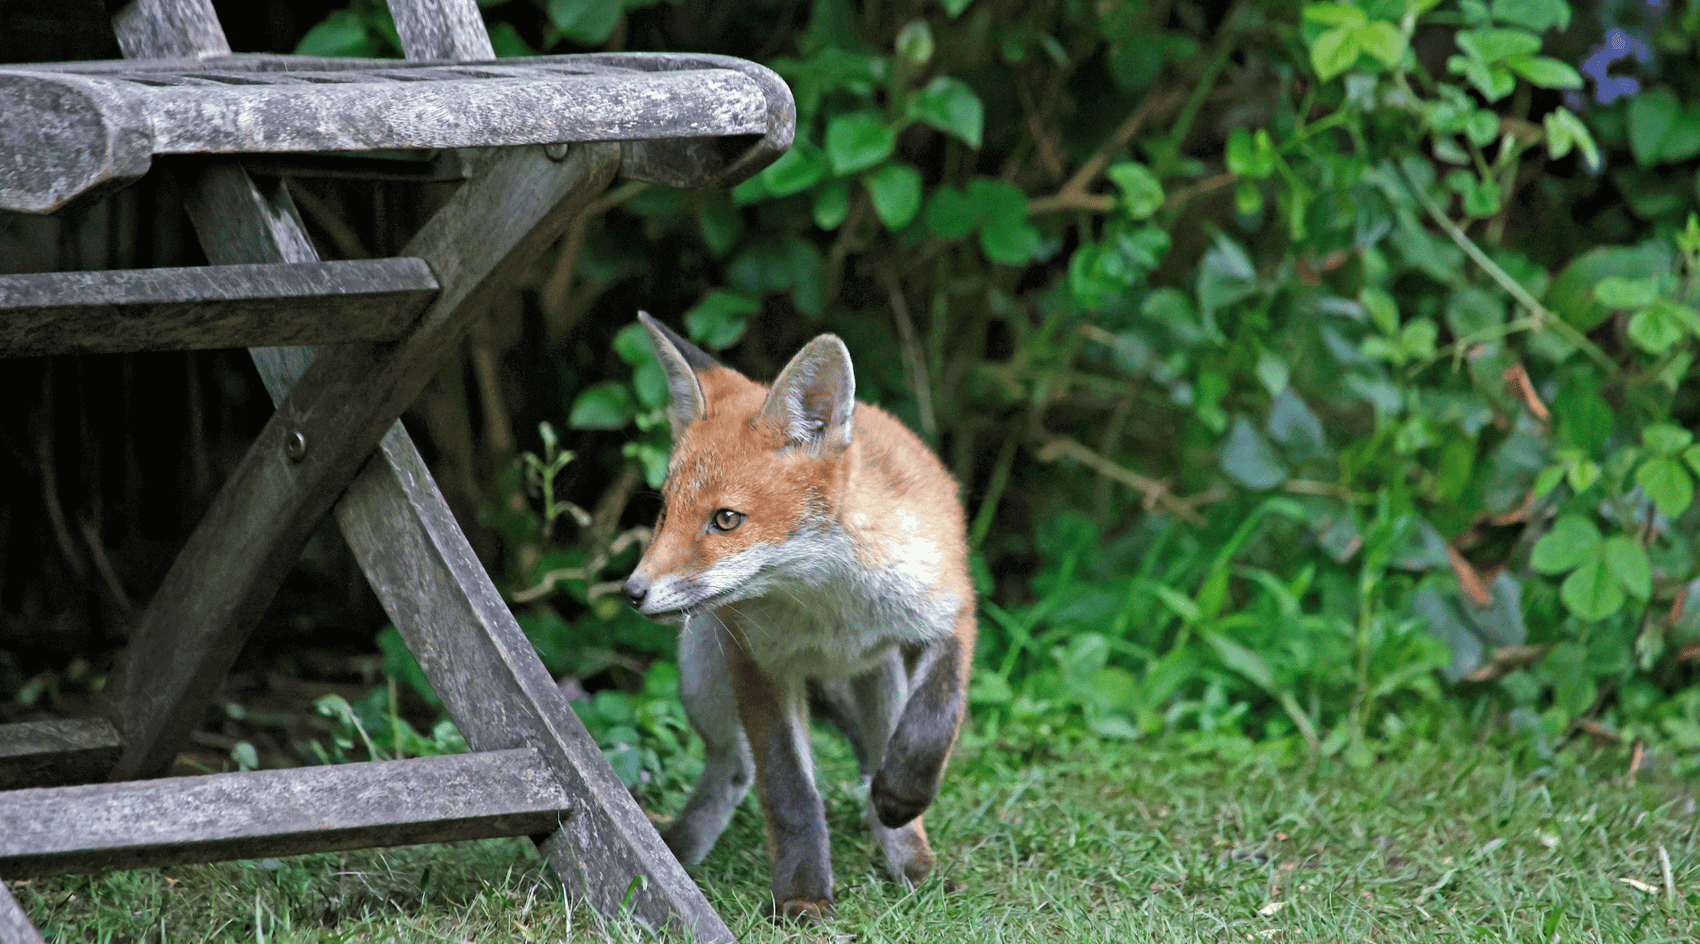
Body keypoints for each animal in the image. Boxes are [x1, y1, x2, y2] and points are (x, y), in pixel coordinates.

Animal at [621, 312, 975, 922]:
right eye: (665, 512)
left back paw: (912, 861)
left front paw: (902, 797)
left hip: (880, 680)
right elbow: (789, 791)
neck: (830, 606)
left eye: (726, 519)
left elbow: (934, 720)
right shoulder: (758, 663)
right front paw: (804, 891)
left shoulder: (949, 607)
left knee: (878, 755)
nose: (632, 592)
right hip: (702, 674)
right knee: (734, 769)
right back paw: (677, 852)